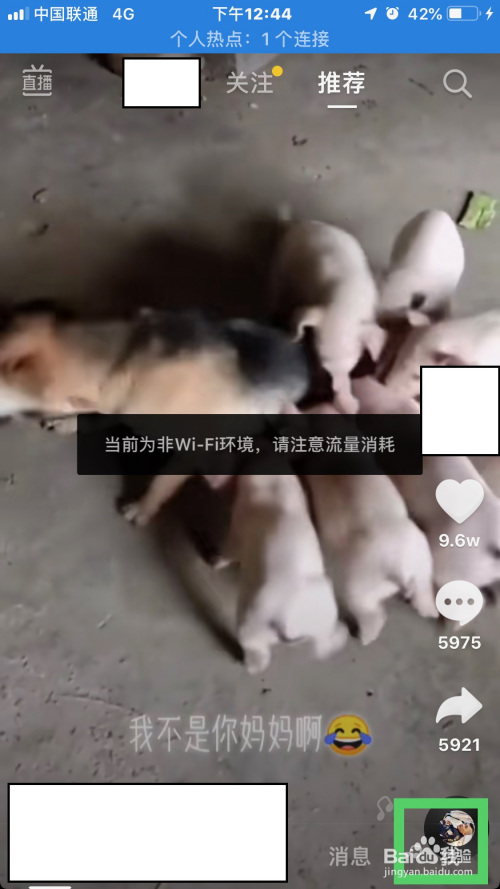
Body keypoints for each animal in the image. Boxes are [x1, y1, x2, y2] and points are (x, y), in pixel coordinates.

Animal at [220, 471, 348, 673]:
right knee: (325, 647)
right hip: (324, 615)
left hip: (252, 618)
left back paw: (252, 666)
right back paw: (343, 633)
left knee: (251, 644)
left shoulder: (235, 532)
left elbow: (227, 551)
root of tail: (288, 623)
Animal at [271, 221, 384, 413]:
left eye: (351, 367)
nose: (334, 391)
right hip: (281, 270)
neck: (345, 302)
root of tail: (304, 223)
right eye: (326, 368)